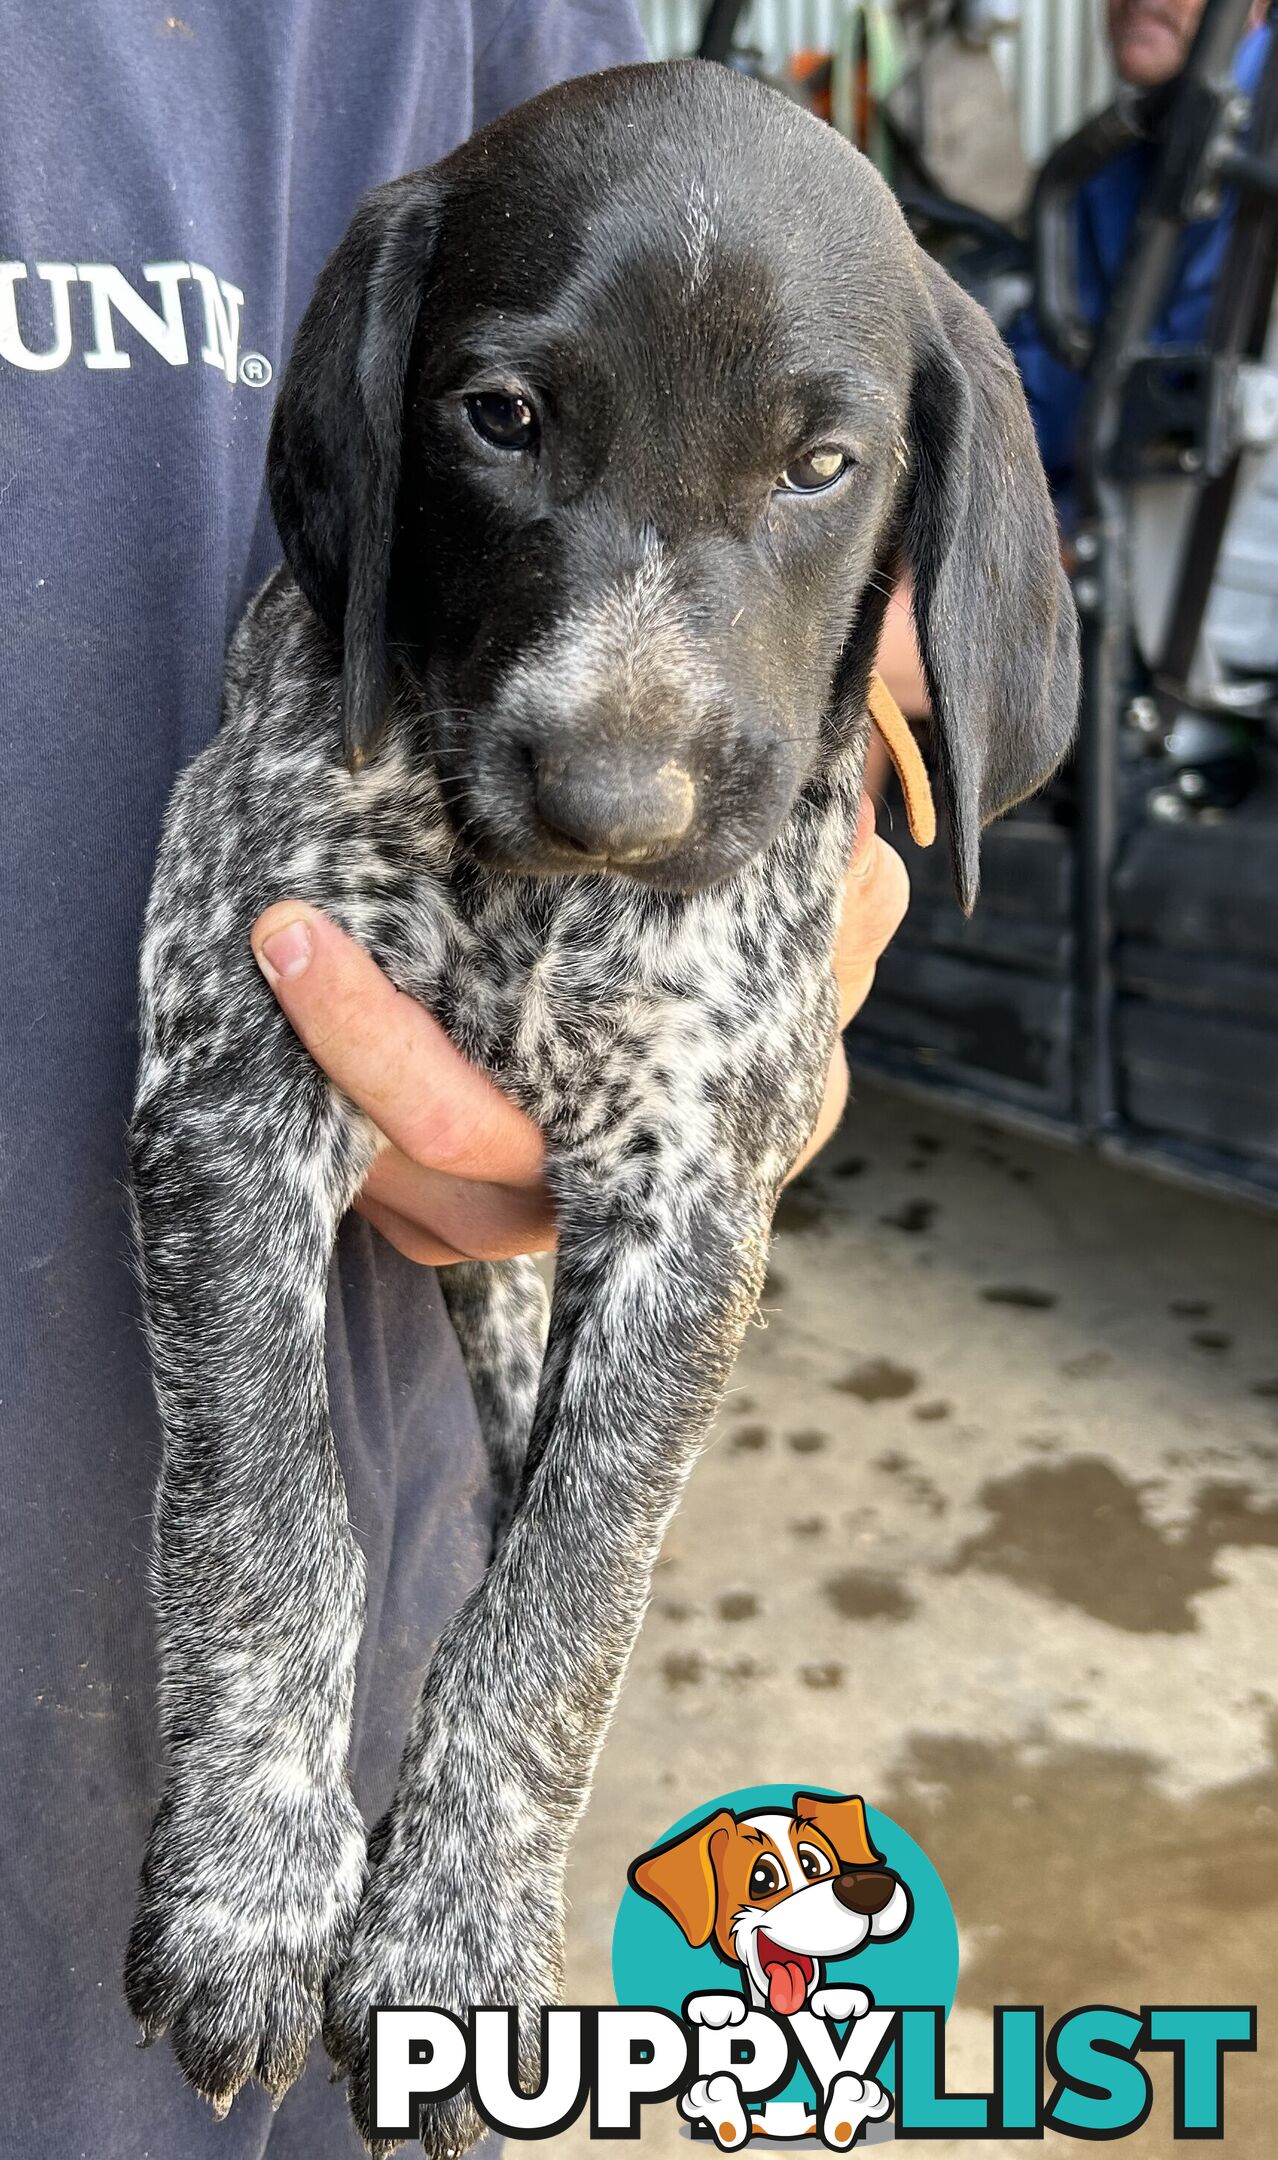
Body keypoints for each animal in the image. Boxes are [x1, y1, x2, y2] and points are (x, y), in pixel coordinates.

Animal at [122, 50, 1079, 2160]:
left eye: (819, 466)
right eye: (500, 420)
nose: (613, 802)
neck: (532, 911)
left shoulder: (691, 1216)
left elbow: (560, 1604)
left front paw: (452, 1936)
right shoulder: (232, 1091)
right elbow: (273, 1518)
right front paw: (255, 1887)